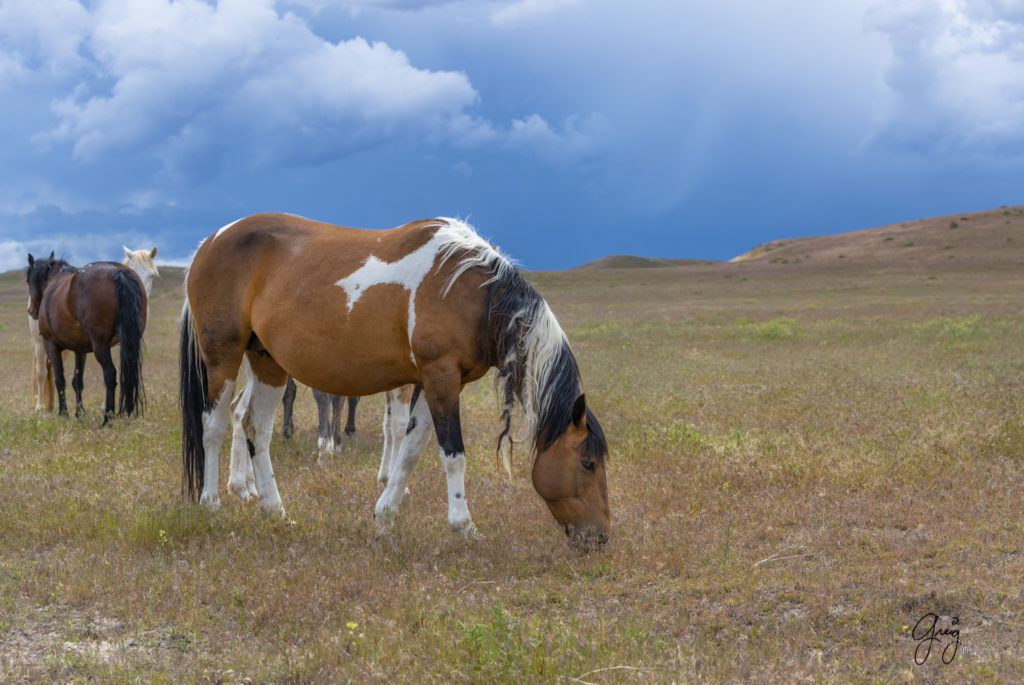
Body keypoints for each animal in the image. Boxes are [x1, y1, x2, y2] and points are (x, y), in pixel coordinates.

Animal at [26, 252, 147, 421]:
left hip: (100, 346)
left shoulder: (50, 345)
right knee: (129, 373)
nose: (31, 311)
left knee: (110, 374)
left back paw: (107, 418)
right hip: (130, 342)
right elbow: (77, 381)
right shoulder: (80, 350)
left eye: (28, 281)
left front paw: (63, 413)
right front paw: (79, 413)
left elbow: (60, 379)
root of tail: (119, 273)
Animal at [181, 211, 610, 544]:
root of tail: (210, 241)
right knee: (214, 427)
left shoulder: (433, 383)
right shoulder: (440, 377)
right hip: (223, 358)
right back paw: (212, 505)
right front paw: (464, 527)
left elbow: (410, 449)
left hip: (267, 362)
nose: (601, 536)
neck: (473, 293)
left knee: (256, 428)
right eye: (588, 463)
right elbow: (453, 455)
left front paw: (384, 518)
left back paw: (275, 511)